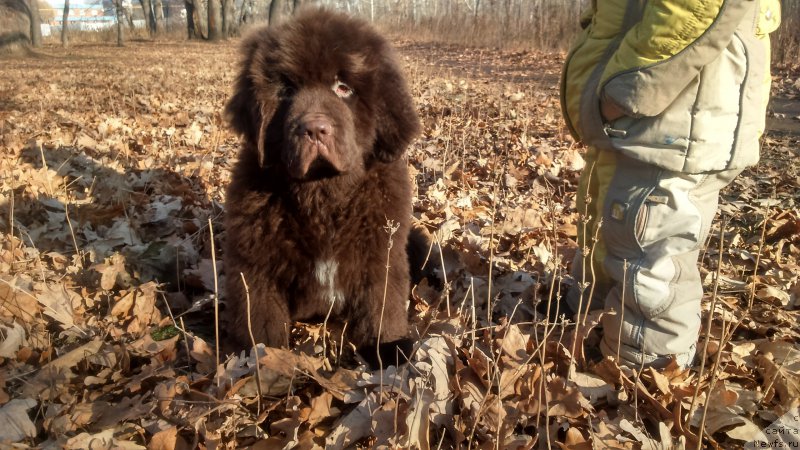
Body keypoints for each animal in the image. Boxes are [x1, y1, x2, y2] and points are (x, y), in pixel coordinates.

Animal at [219, 8, 418, 368]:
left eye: (343, 87)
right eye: (286, 90)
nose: (313, 129)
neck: (322, 194)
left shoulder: (381, 257)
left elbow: (381, 310)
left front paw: (388, 352)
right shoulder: (256, 266)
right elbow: (261, 323)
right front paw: (261, 361)